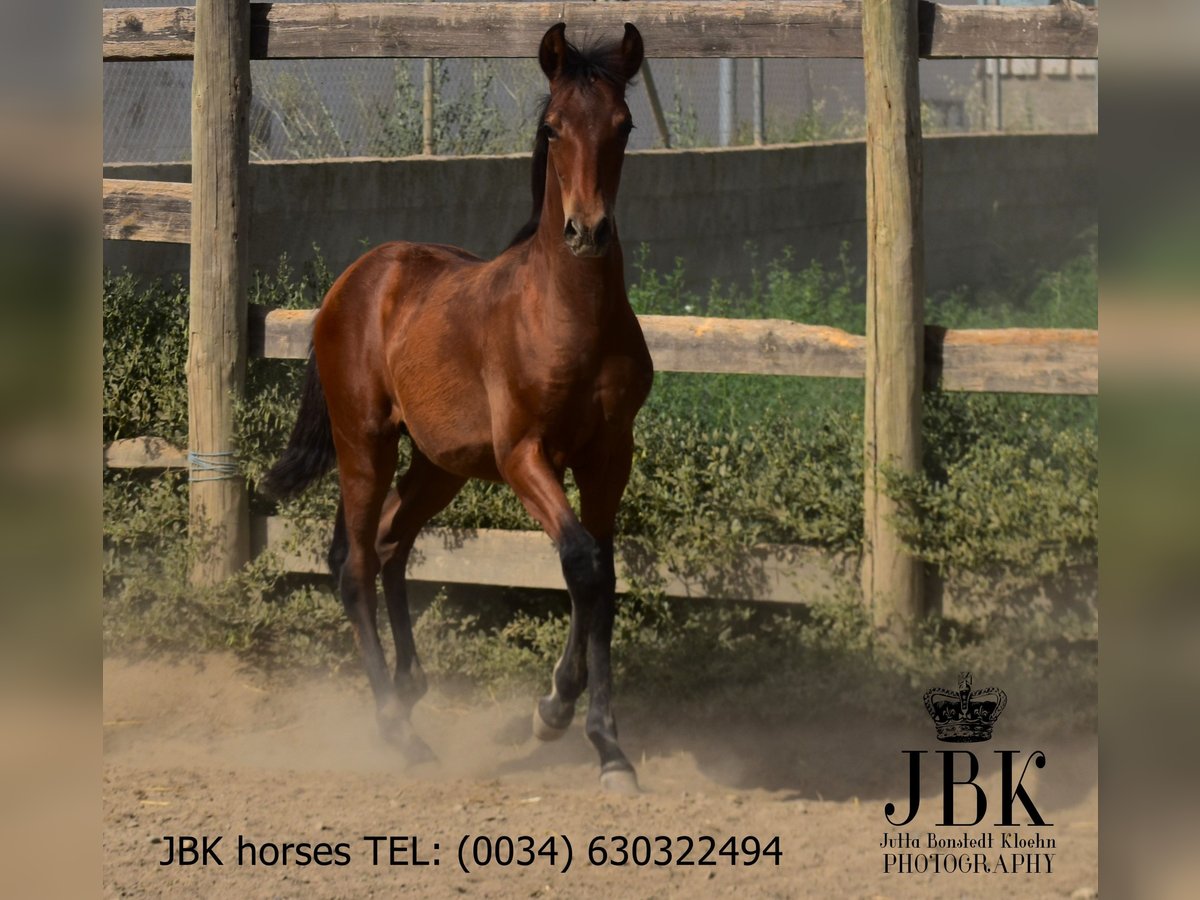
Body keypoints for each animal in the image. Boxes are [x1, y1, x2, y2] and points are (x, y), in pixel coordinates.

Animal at [261, 23, 652, 793]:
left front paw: (593, 736)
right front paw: (564, 718)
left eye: (623, 125)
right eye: (553, 127)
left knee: (390, 543)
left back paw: (411, 688)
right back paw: (396, 729)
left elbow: (600, 572)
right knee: (353, 562)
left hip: (439, 465)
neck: (566, 317)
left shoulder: (608, 457)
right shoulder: (524, 454)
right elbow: (581, 562)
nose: (586, 231)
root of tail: (351, 282)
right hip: (365, 444)